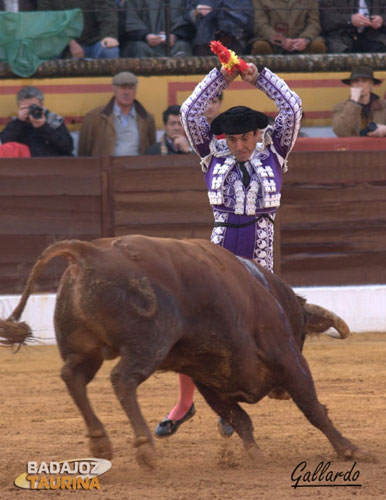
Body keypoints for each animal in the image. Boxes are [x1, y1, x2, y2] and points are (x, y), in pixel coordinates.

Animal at [0, 236, 370, 466]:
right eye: (302, 335)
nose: (278, 393)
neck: (274, 298)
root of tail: (89, 252)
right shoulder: (289, 359)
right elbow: (312, 407)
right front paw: (352, 450)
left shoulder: (208, 379)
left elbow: (240, 419)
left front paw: (255, 456)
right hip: (150, 341)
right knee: (122, 379)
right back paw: (145, 449)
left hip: (84, 348)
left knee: (73, 377)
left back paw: (100, 442)